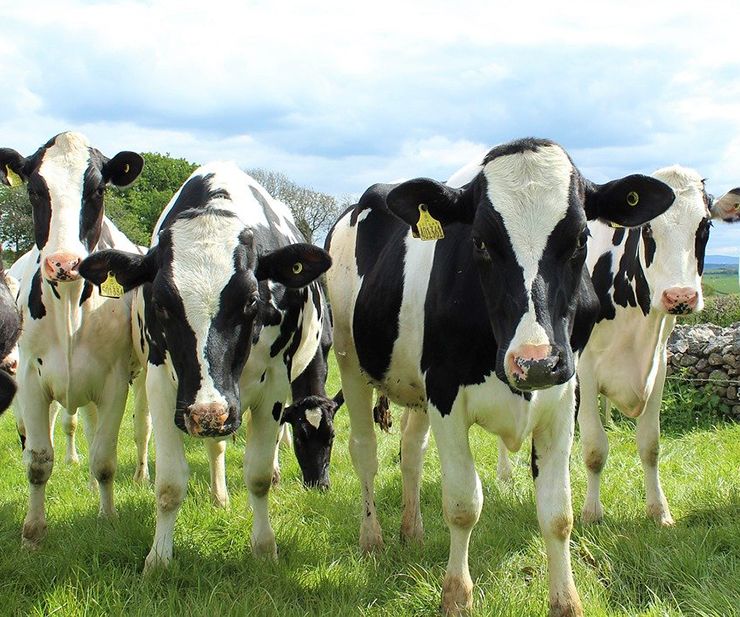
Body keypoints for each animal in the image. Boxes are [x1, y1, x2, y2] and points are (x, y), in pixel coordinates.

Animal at [0, 132, 147, 548]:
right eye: (35, 189)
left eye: (97, 189)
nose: (63, 264)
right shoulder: (31, 379)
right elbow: (38, 460)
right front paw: (32, 533)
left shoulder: (115, 381)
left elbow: (105, 459)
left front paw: (108, 517)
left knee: (139, 429)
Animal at [78, 161, 331, 571]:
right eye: (161, 303)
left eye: (251, 299)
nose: (207, 413)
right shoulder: (164, 386)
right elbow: (169, 483)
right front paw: (158, 558)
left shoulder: (275, 387)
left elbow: (259, 474)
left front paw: (265, 549)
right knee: (216, 446)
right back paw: (218, 495)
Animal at [325, 138, 676, 616]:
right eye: (480, 242)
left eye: (581, 239)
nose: (535, 362)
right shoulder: (445, 394)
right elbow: (463, 503)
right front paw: (456, 595)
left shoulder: (564, 396)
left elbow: (557, 512)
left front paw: (566, 601)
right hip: (349, 360)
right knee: (365, 451)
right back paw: (372, 539)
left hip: (414, 387)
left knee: (411, 451)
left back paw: (412, 531)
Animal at [574, 169, 740, 526]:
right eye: (647, 229)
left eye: (705, 226)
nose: (680, 297)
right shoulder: (585, 369)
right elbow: (594, 448)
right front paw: (591, 513)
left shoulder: (659, 365)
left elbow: (650, 444)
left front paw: (659, 510)